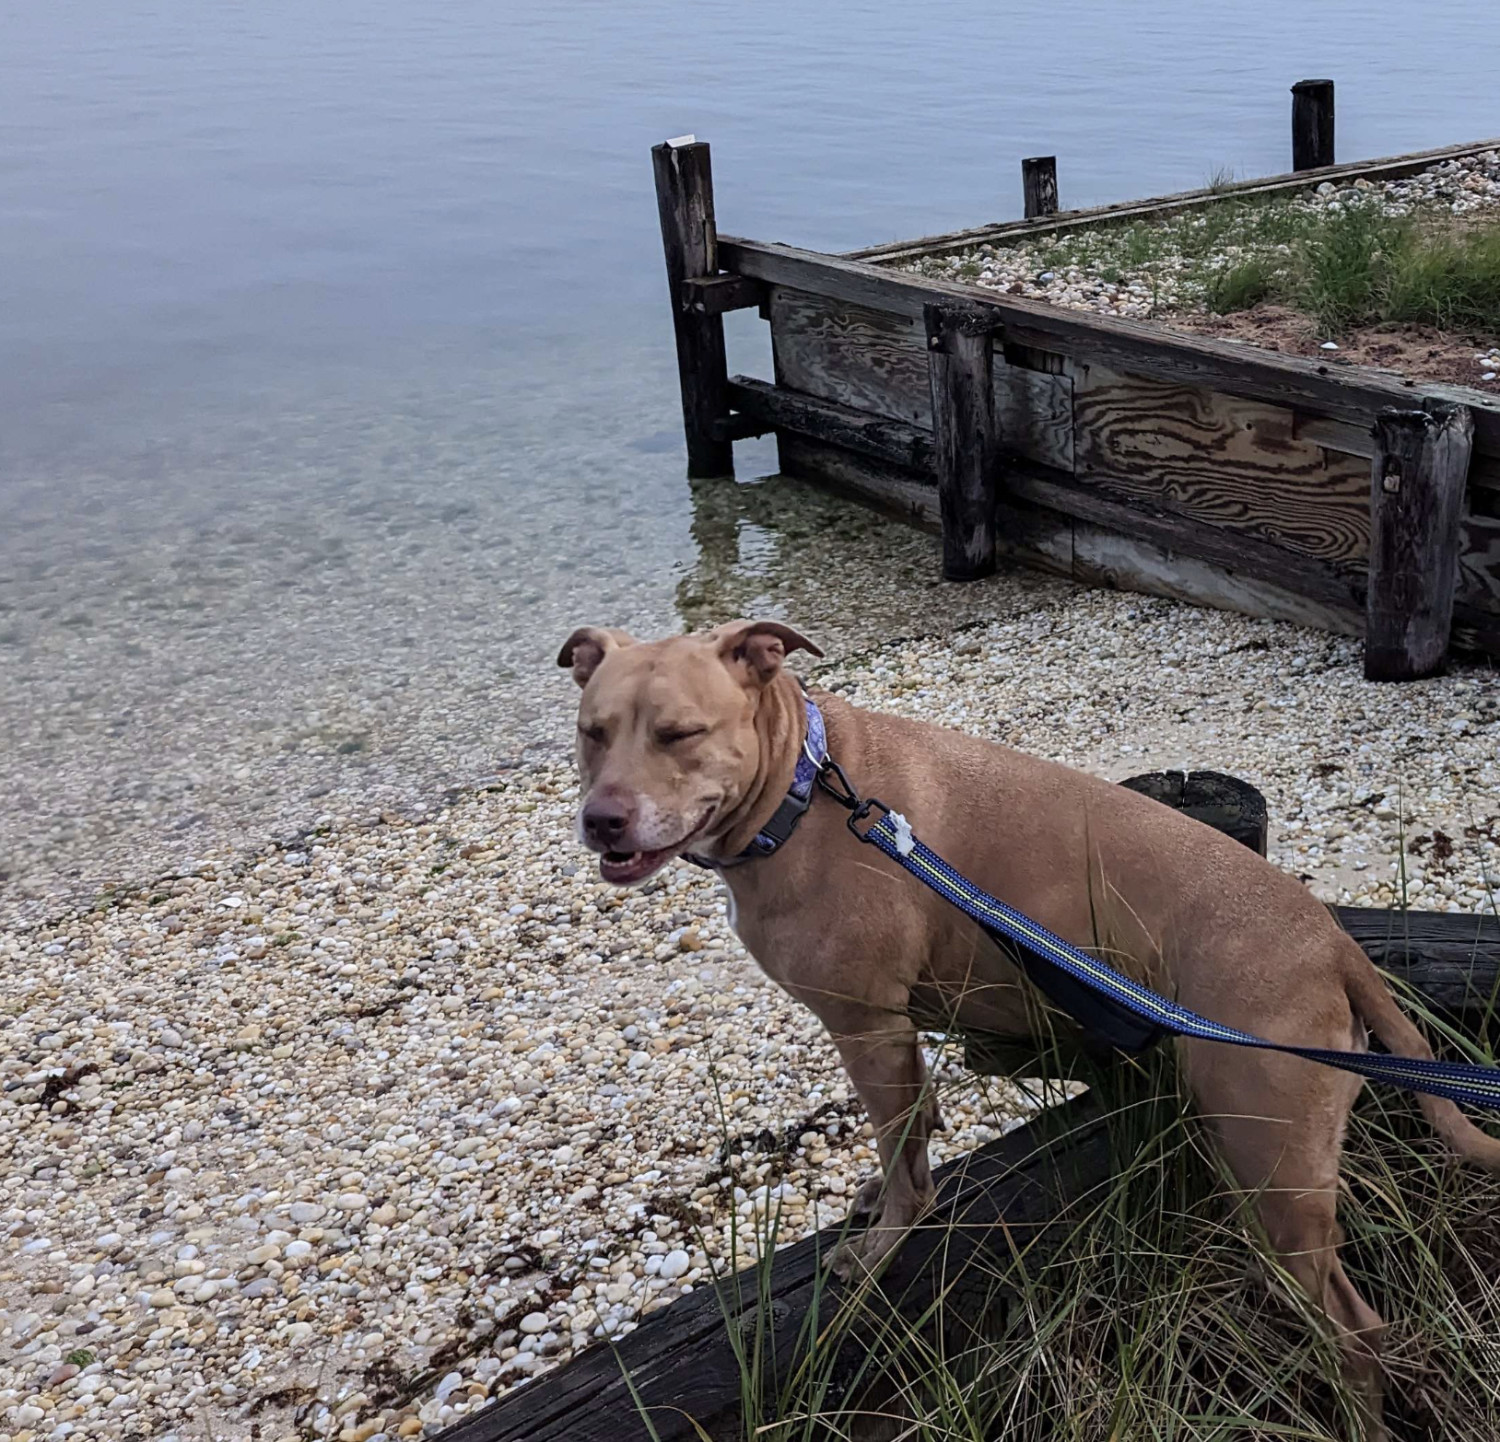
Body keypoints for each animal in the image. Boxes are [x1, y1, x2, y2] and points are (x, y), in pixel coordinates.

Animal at [558, 612, 1500, 1422]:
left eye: (680, 734)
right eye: (592, 732)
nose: (602, 820)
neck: (804, 788)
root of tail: (1332, 942)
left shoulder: (867, 1025)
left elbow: (902, 1156)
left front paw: (884, 1240)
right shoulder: (895, 1034)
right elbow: (910, 1130)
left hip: (1272, 1166)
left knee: (1358, 1332)